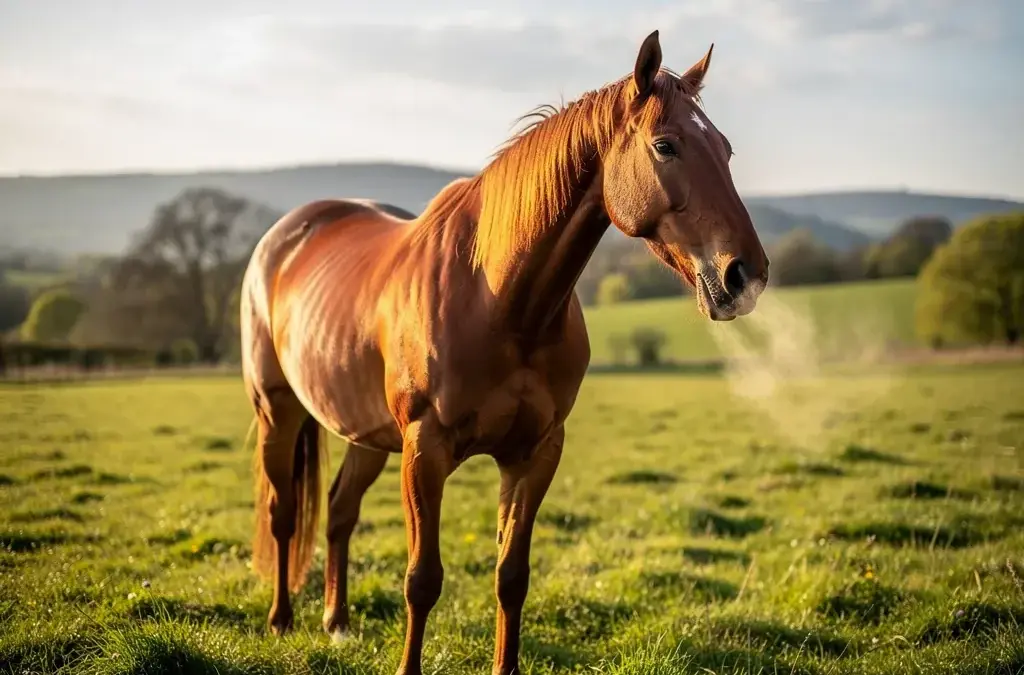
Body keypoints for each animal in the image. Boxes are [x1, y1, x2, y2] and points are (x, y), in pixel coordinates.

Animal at [239, 29, 769, 675]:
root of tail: (285, 236)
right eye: (665, 145)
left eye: (725, 149)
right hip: (279, 410)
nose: (745, 275)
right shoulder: (425, 448)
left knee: (339, 512)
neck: (499, 300)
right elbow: (422, 579)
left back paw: (337, 623)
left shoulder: (533, 452)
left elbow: (511, 576)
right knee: (285, 513)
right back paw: (280, 620)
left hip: (366, 431)